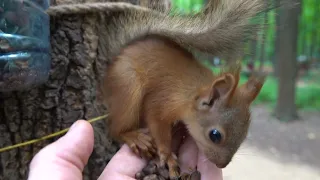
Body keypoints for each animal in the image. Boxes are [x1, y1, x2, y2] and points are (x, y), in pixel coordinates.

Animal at [46, 0, 268, 179]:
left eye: (245, 134)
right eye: (215, 135)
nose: (222, 164)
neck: (190, 94)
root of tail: (112, 66)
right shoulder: (162, 102)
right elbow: (157, 123)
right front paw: (168, 155)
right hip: (128, 86)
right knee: (115, 128)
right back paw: (134, 137)